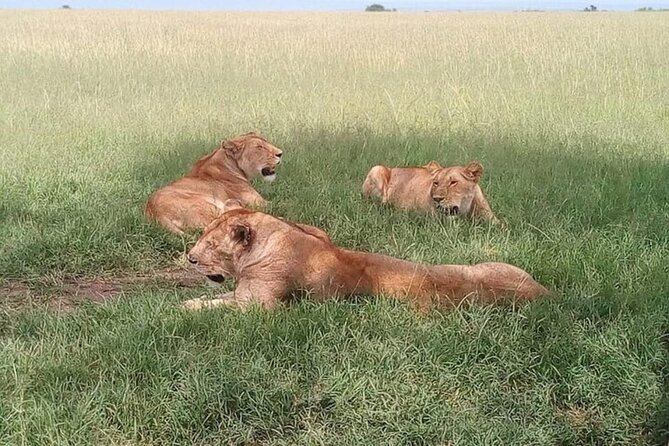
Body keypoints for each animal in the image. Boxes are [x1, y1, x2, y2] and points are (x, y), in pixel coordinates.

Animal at [144, 132, 283, 234]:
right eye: (259, 147)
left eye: (266, 142)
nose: (280, 153)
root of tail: (154, 213)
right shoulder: (258, 203)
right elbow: (280, 203)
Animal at [182, 204, 549, 312]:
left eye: (210, 243)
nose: (190, 259)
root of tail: (544, 293)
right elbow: (213, 298)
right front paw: (191, 300)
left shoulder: (259, 307)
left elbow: (214, 307)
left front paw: (184, 308)